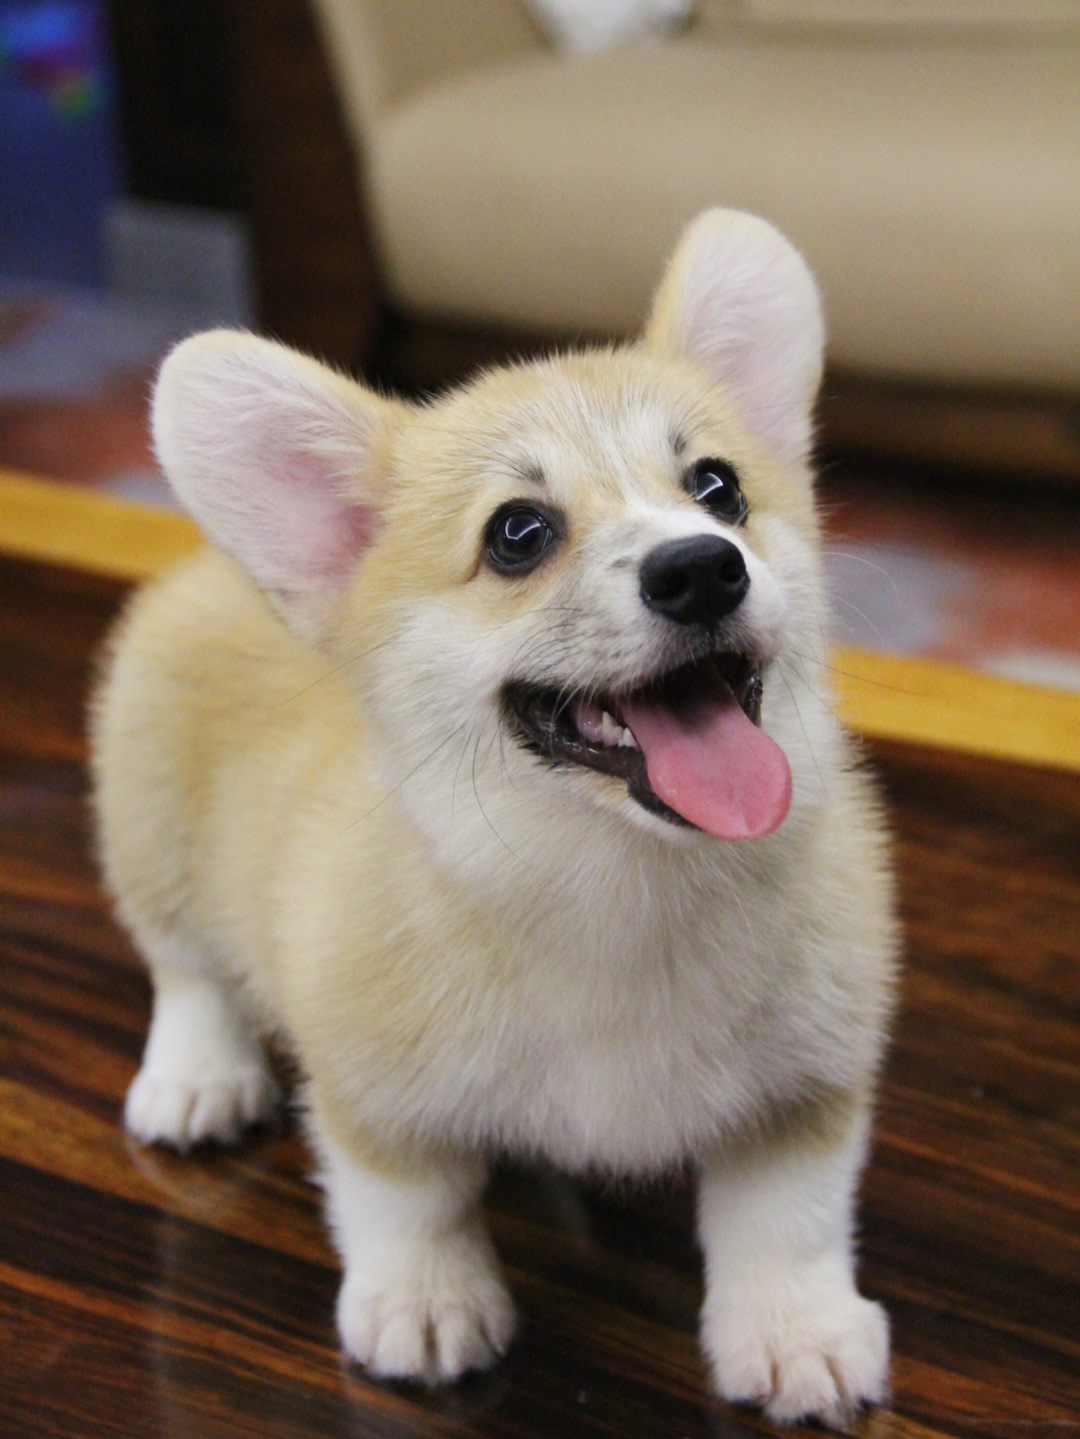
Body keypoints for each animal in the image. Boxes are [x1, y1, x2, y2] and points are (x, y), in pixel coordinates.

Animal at [92, 210, 897, 1427]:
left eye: (718, 487)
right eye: (518, 533)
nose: (704, 568)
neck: (616, 885)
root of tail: (212, 565)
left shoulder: (809, 1077)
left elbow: (785, 1218)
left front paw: (797, 1335)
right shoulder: (370, 1080)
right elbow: (406, 1201)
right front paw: (426, 1308)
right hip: (147, 813)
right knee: (184, 967)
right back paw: (197, 1079)